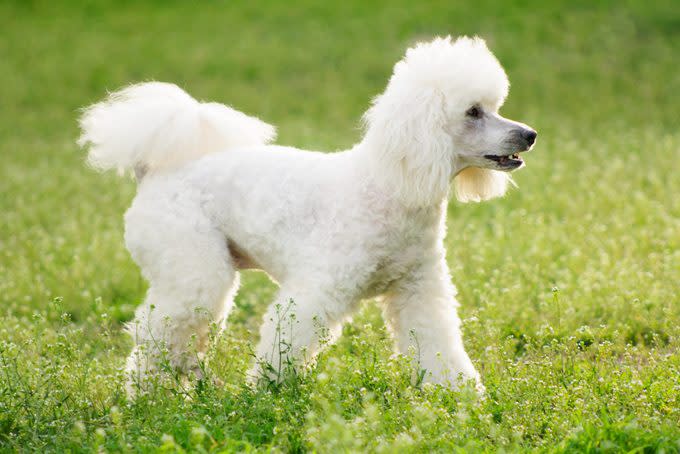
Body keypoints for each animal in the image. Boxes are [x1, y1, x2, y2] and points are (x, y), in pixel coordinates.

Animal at [78, 35, 536, 392]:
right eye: (473, 111)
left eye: (494, 106)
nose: (529, 135)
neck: (388, 186)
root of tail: (151, 173)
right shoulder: (319, 288)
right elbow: (286, 341)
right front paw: (265, 394)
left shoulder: (418, 290)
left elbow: (437, 343)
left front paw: (460, 396)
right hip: (193, 270)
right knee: (156, 337)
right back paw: (147, 398)